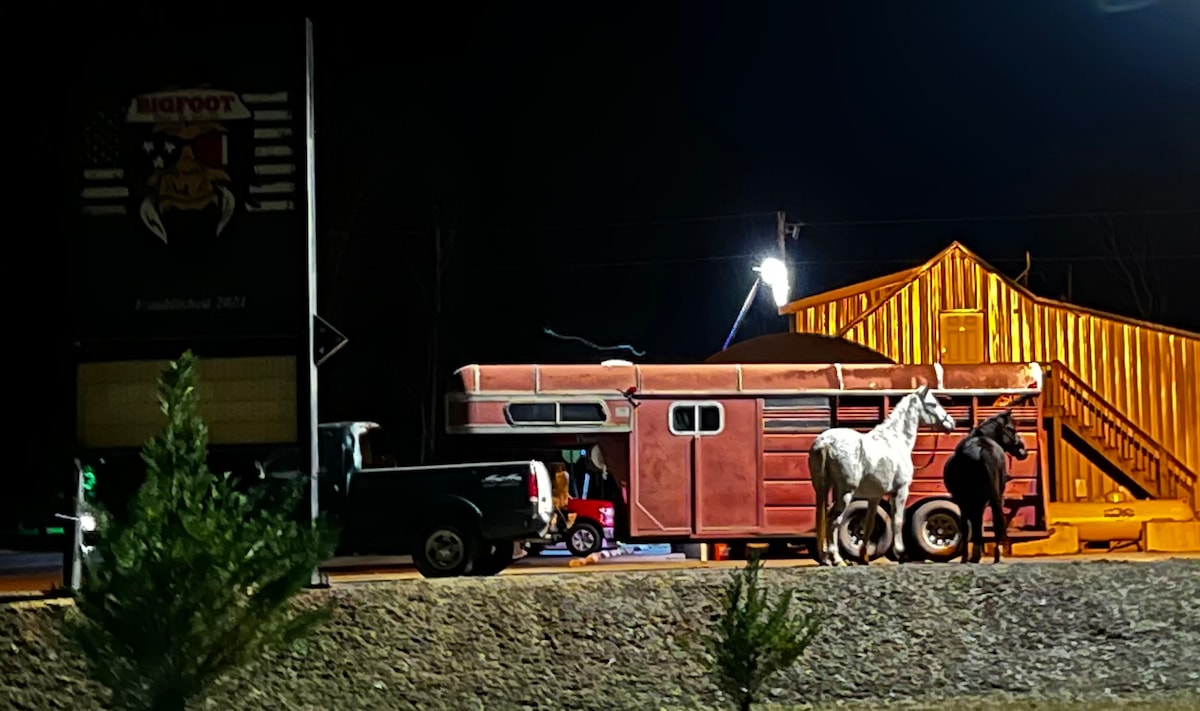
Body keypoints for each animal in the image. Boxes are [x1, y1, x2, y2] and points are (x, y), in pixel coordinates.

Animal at [806, 384, 955, 566]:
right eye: (933, 404)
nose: (951, 423)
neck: (896, 440)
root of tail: (827, 442)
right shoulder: (900, 491)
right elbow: (898, 520)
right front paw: (901, 554)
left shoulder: (875, 496)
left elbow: (869, 524)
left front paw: (864, 557)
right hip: (845, 493)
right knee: (834, 521)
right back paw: (837, 559)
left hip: (822, 488)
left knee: (825, 519)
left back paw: (827, 559)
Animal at [940, 408, 1027, 564]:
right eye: (1011, 429)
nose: (1023, 450)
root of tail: (984, 449)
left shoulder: (966, 501)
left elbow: (970, 525)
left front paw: (969, 556)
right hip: (993, 496)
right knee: (997, 519)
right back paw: (997, 554)